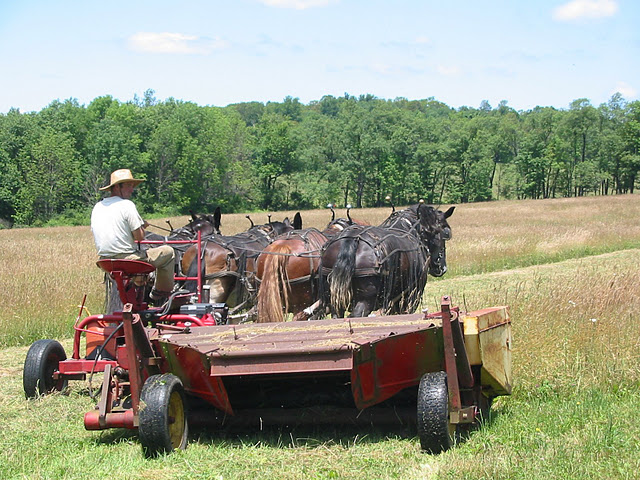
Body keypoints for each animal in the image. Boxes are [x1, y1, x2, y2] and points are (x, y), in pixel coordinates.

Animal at [320, 203, 456, 318]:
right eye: (445, 232)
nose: (442, 267)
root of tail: (352, 239)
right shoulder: (412, 295)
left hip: (335, 300)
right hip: (365, 300)